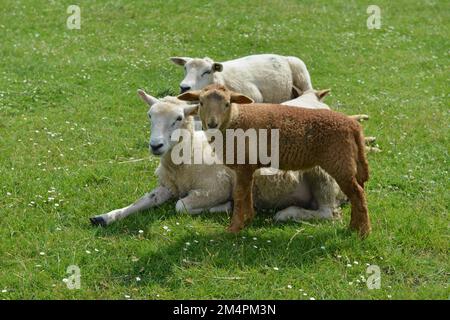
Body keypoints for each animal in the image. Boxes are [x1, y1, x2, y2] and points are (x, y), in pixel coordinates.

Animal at [89, 89, 346, 225]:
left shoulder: (215, 187)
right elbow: (141, 201)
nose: (155, 145)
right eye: (150, 115)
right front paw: (106, 216)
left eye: (179, 118)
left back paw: (287, 213)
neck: (185, 161)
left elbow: (181, 206)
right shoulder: (167, 186)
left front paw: (224, 207)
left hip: (321, 174)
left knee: (328, 213)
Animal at [178, 84, 370, 236]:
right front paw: (247, 220)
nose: (212, 124)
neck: (234, 121)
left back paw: (362, 231)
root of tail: (353, 126)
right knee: (356, 193)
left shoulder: (244, 165)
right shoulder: (248, 167)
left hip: (338, 164)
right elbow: (246, 194)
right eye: (201, 103)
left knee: (355, 195)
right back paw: (354, 227)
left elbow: (239, 194)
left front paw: (234, 228)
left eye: (227, 104)